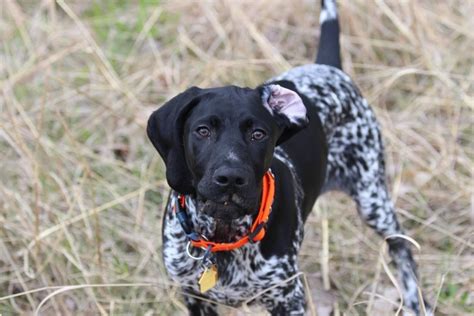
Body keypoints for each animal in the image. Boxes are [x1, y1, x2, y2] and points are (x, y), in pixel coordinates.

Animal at [147, 1, 430, 314]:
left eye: (258, 134)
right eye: (203, 130)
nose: (231, 178)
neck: (224, 234)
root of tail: (327, 67)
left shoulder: (288, 298)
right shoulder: (195, 297)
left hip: (373, 200)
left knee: (402, 249)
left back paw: (415, 301)